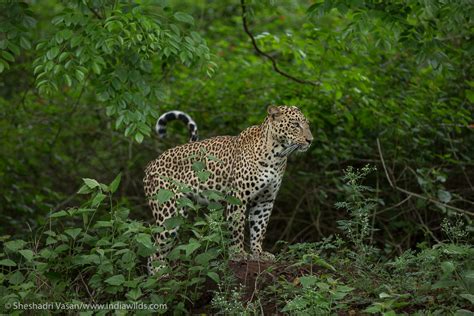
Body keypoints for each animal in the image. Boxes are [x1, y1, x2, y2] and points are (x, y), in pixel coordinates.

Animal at [144, 105, 314, 274]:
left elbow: (259, 229)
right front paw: (238, 253)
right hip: (169, 212)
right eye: (295, 125)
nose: (310, 140)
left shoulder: (265, 200)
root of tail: (151, 164)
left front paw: (258, 253)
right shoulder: (238, 196)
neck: (277, 155)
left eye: (307, 124)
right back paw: (160, 274)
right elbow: (237, 227)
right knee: (154, 252)